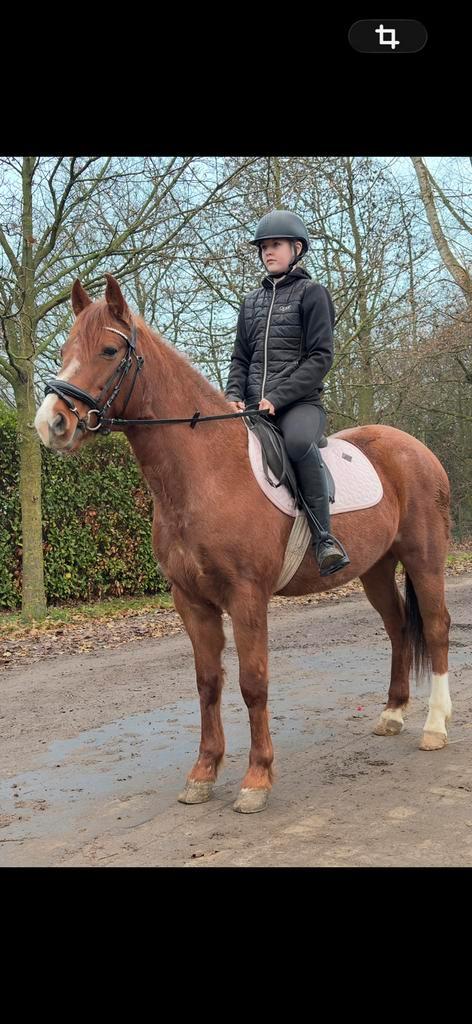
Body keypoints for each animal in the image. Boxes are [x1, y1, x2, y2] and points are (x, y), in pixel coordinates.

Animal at [34, 274, 452, 814]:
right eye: (64, 351)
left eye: (109, 350)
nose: (52, 423)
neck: (207, 472)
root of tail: (415, 448)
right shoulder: (191, 601)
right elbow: (208, 682)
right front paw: (203, 773)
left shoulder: (247, 596)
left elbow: (253, 683)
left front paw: (257, 779)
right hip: (375, 568)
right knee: (398, 627)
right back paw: (394, 714)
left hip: (424, 558)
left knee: (437, 628)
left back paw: (435, 727)